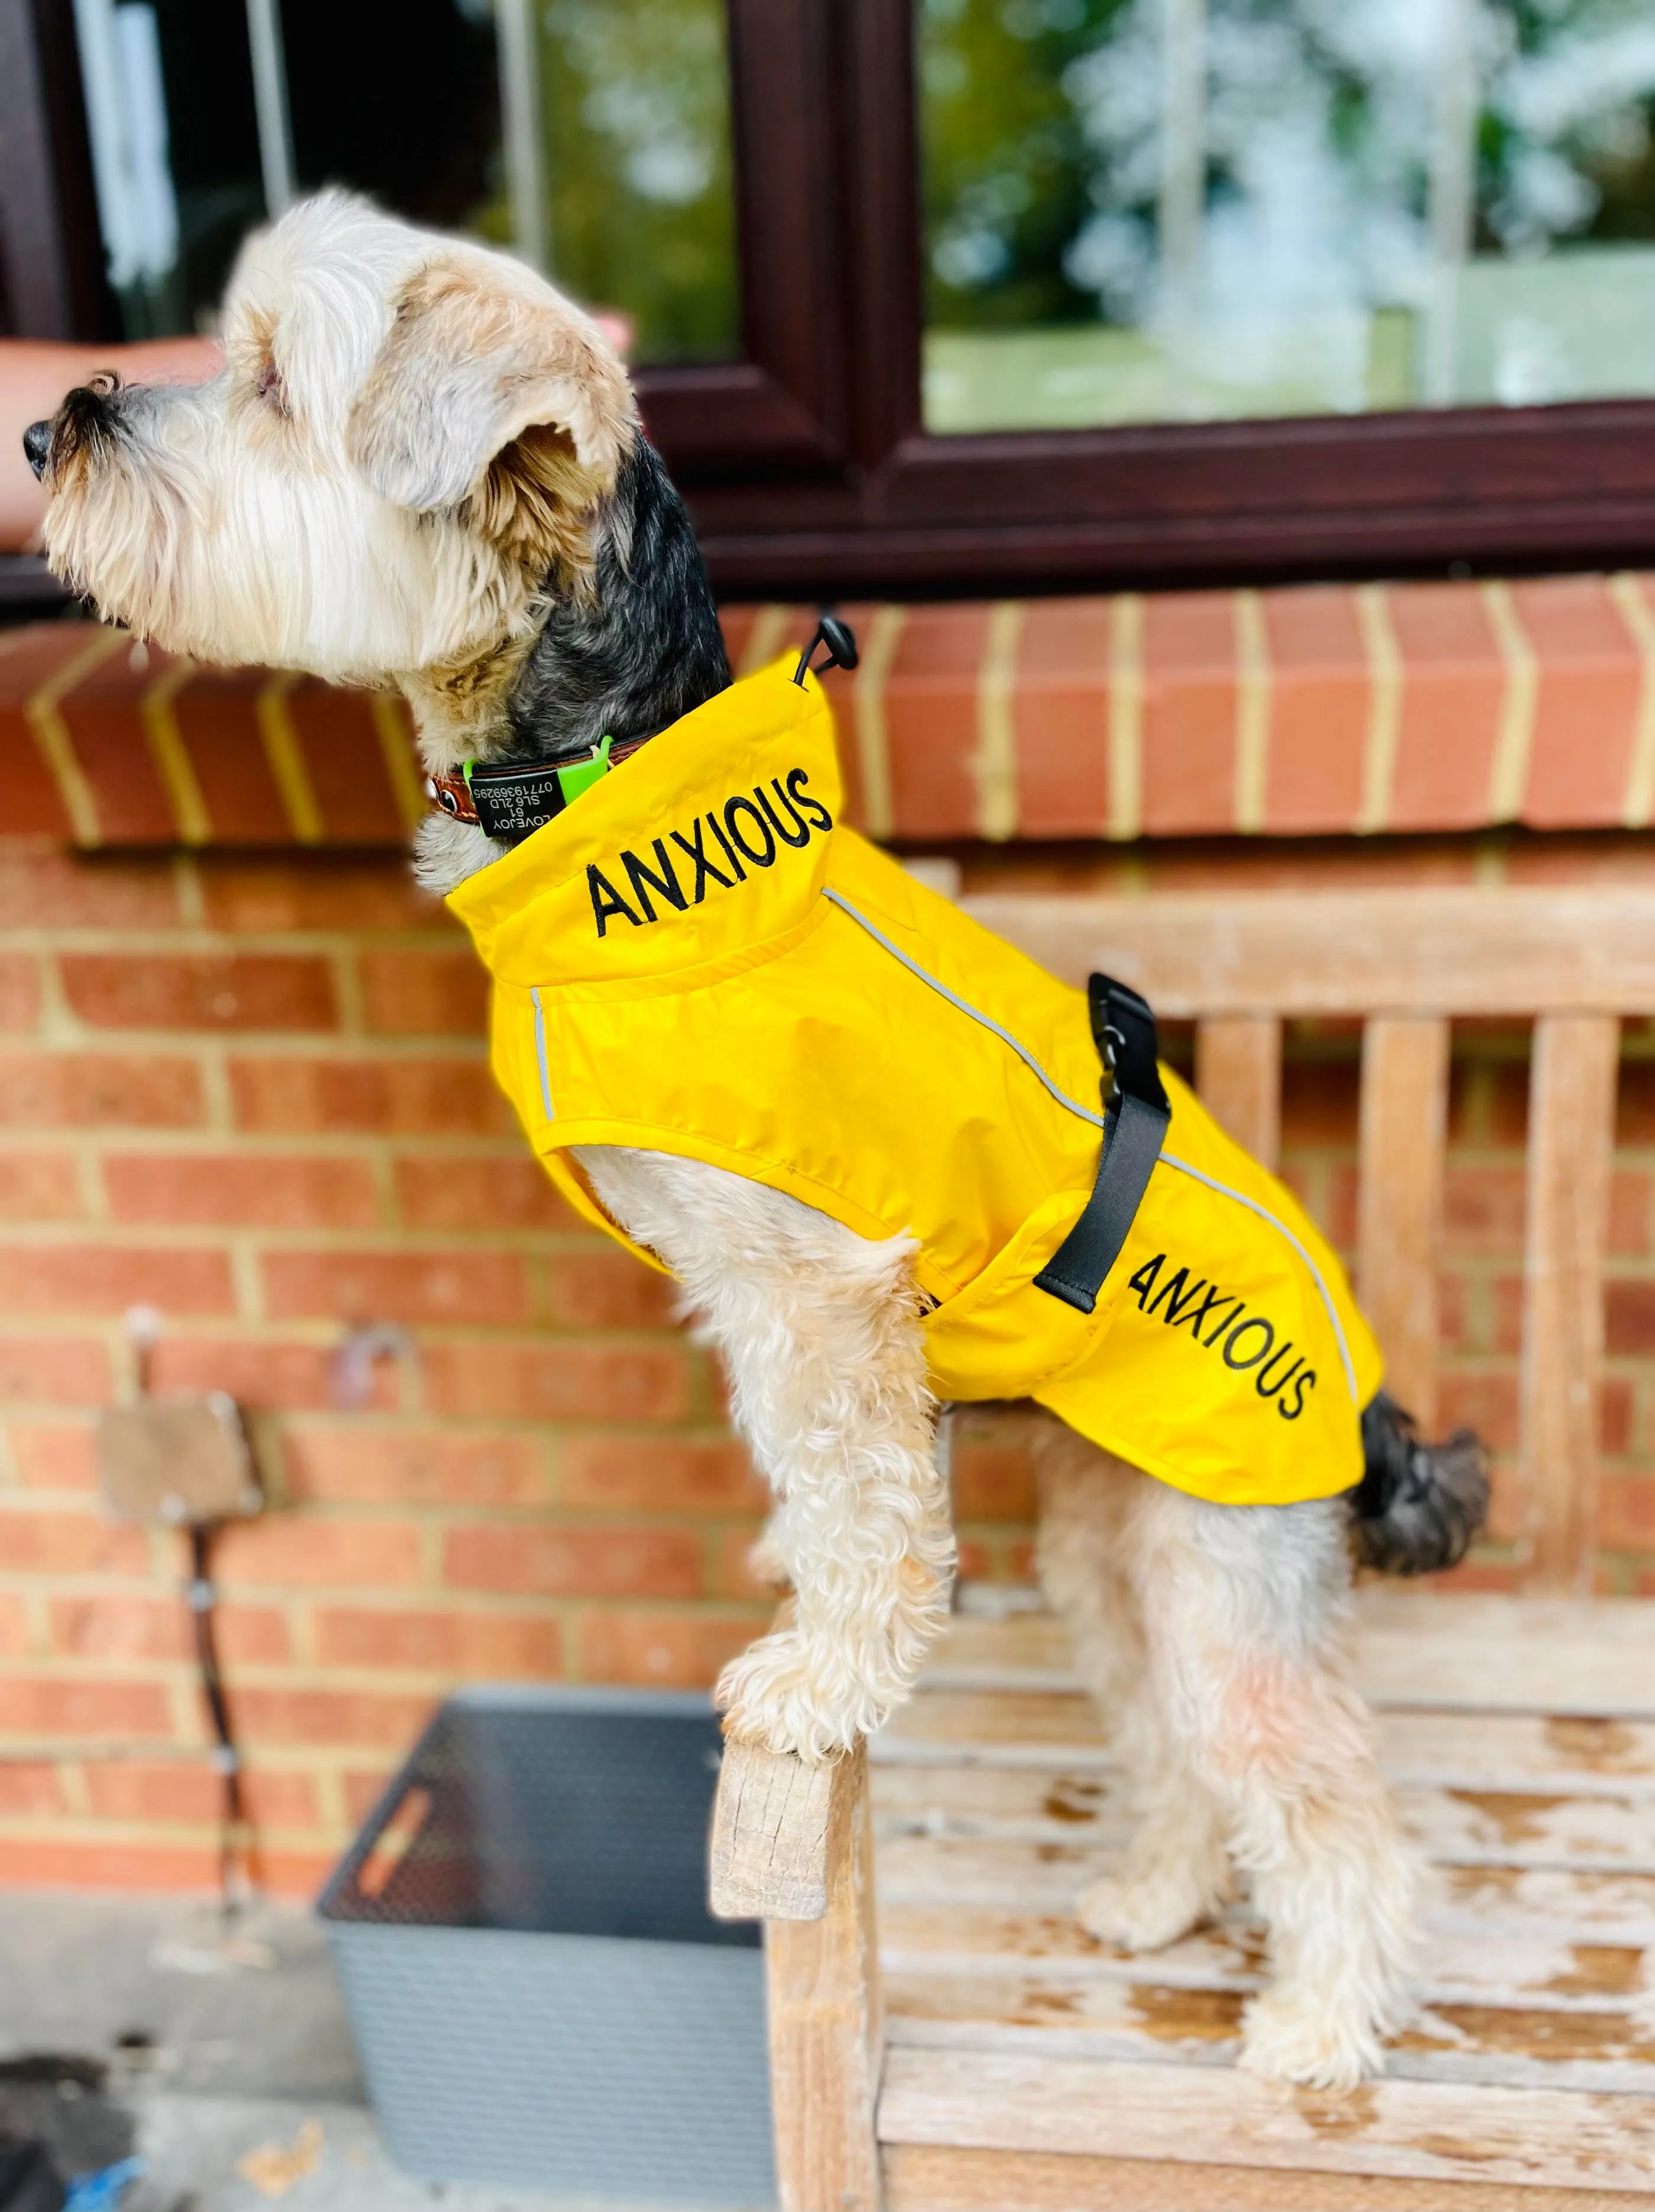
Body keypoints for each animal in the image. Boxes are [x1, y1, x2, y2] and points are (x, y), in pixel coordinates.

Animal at [32, 194, 1487, 2088]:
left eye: (276, 384)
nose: (45, 430)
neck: (596, 790)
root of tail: (1374, 1414)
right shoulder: (752, 1297)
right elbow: (811, 1482)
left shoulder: (820, 1290)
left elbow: (861, 1501)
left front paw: (821, 1678)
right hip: (1118, 1542)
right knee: (1167, 1732)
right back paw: (1155, 1894)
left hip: (1222, 1561)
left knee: (1323, 1792)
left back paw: (1320, 2023)